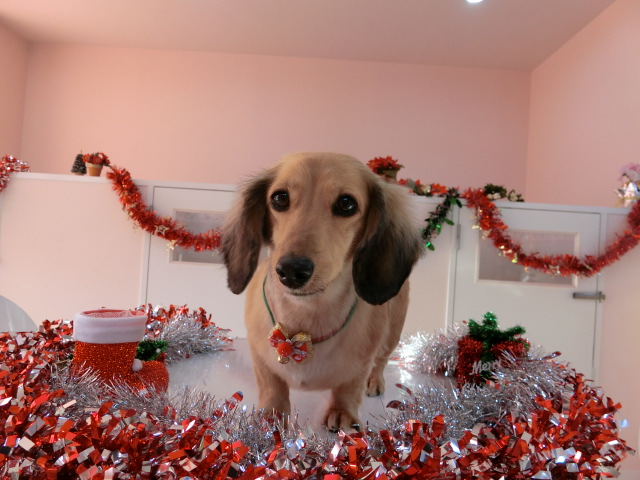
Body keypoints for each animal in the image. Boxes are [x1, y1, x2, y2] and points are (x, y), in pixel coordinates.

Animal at [221, 152, 423, 431]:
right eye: (279, 198)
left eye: (347, 203)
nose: (291, 270)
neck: (306, 317)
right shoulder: (261, 358)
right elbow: (272, 385)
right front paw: (272, 414)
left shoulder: (360, 364)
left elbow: (349, 387)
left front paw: (343, 412)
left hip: (391, 334)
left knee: (381, 361)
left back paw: (375, 381)